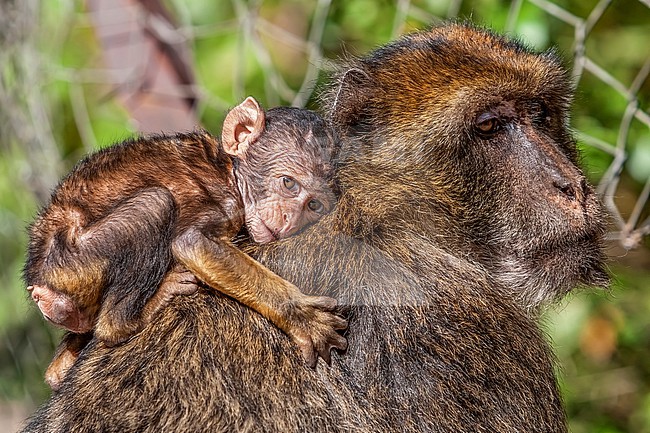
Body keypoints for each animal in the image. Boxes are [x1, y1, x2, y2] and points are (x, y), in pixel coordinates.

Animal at [23, 96, 347, 390]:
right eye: (289, 183)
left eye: (314, 205)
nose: (290, 219)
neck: (229, 174)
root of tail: (40, 279)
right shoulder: (227, 205)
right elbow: (194, 244)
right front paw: (301, 316)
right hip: (72, 262)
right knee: (156, 204)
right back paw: (126, 321)